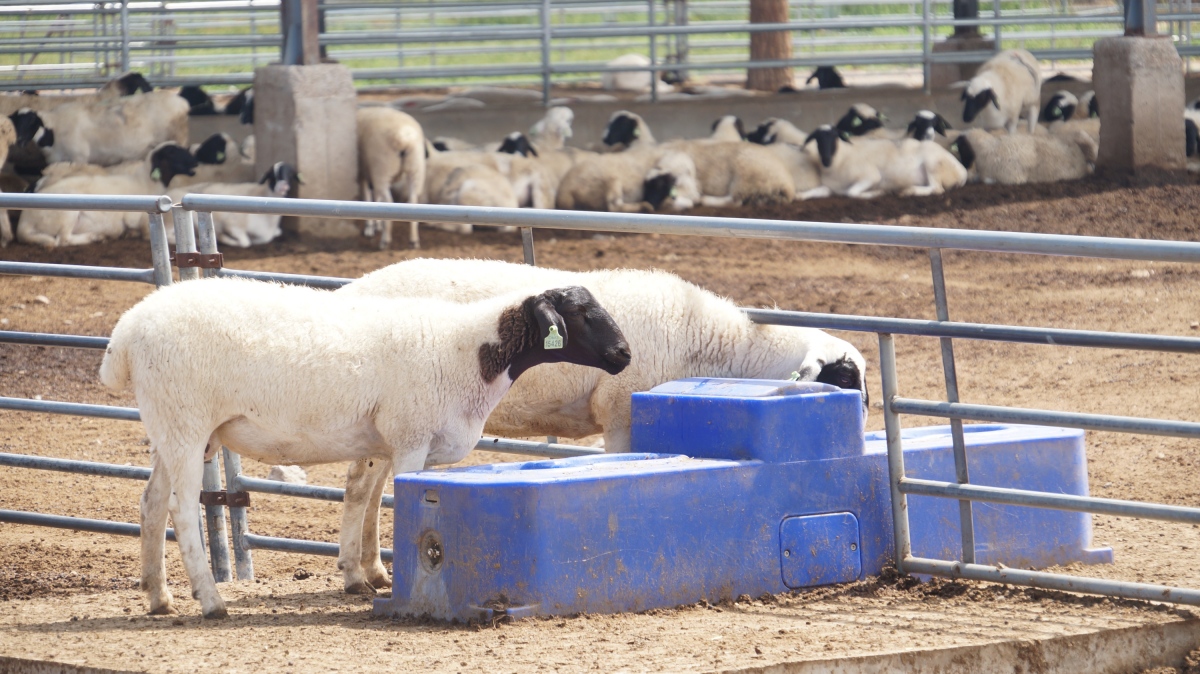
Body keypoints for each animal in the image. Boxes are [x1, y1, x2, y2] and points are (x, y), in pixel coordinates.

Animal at [18, 143, 197, 247]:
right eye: (172, 152)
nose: (195, 163)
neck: (146, 183)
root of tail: (24, 222)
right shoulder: (141, 223)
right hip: (68, 212)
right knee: (63, 239)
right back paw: (94, 237)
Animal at [100, 276, 630, 615]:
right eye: (579, 313)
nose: (624, 354)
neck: (469, 353)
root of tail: (127, 331)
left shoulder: (382, 439)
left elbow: (363, 497)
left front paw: (359, 577)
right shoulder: (411, 436)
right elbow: (397, 505)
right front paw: (398, 580)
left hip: (171, 427)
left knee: (151, 503)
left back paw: (159, 598)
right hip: (186, 423)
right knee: (182, 508)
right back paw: (210, 602)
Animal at [334, 259, 869, 589]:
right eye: (843, 378)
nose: (862, 433)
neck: (713, 344)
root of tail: (353, 287)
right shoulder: (619, 412)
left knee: (371, 483)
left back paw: (372, 571)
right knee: (362, 485)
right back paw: (356, 573)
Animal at [357, 107, 427, 250]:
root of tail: (404, 137)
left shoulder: (364, 173)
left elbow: (367, 198)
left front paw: (370, 228)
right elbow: (376, 199)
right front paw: (377, 224)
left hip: (383, 170)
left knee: (389, 202)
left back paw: (385, 241)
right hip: (415, 170)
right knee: (413, 201)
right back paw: (413, 240)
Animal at [800, 125, 967, 199]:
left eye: (834, 138)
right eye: (817, 140)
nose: (826, 159)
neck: (842, 158)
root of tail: (962, 171)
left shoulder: (871, 176)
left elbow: (851, 192)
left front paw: (876, 193)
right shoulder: (830, 188)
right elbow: (818, 191)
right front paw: (800, 196)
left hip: (933, 164)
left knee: (937, 189)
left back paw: (908, 190)